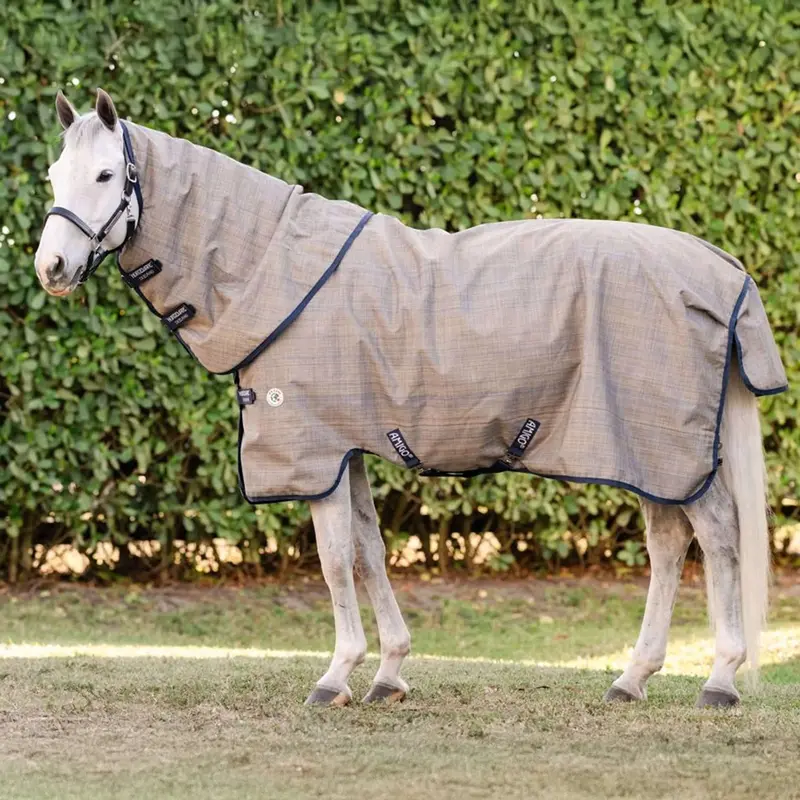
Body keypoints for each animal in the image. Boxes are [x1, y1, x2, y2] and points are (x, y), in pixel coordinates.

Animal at [35, 88, 787, 708]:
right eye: (53, 176)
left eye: (106, 176)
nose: (51, 268)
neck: (273, 271)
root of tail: (722, 270)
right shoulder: (349, 449)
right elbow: (369, 550)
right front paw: (389, 672)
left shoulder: (315, 451)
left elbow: (335, 560)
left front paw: (335, 676)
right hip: (645, 451)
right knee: (669, 543)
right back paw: (632, 679)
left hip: (663, 449)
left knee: (717, 537)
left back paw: (720, 680)